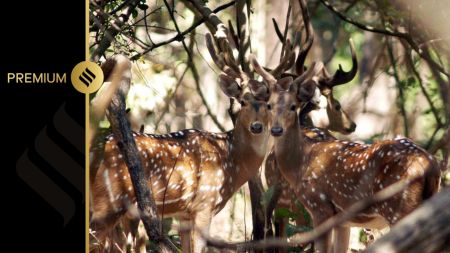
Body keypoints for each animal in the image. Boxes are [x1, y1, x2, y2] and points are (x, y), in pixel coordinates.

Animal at [251, 57, 442, 253]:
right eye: (269, 105)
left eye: (293, 106)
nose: (276, 129)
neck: (301, 163)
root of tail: (430, 165)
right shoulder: (341, 220)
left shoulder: (319, 206)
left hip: (399, 208)